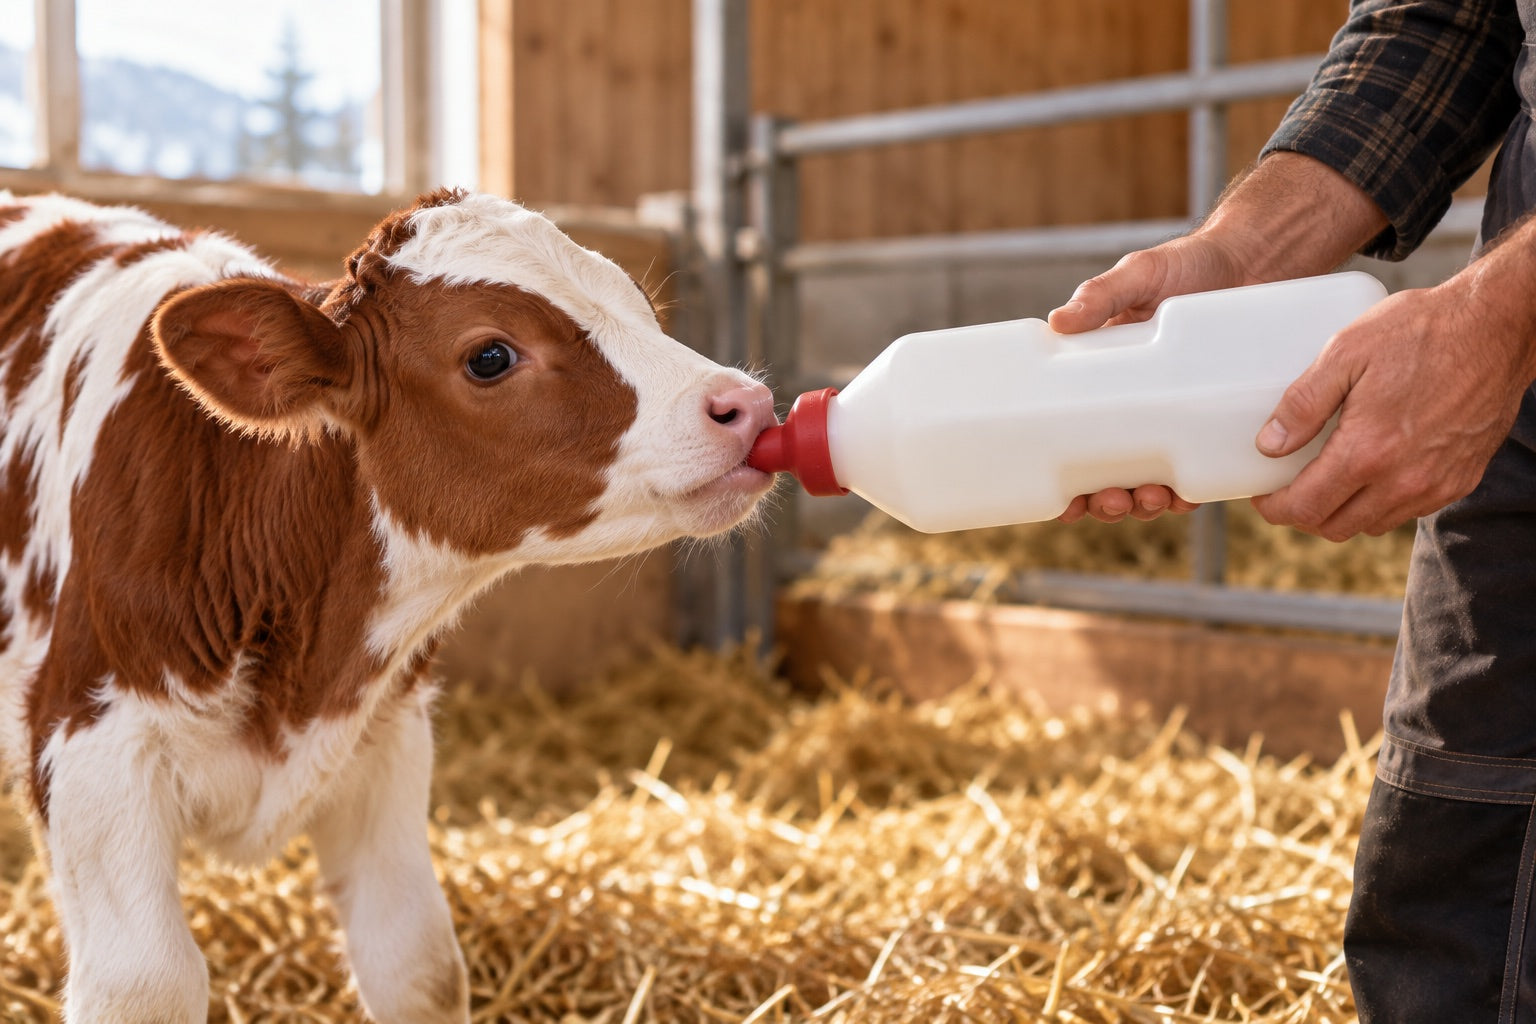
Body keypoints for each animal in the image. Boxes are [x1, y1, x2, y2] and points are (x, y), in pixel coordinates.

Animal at [0, 188, 777, 1023]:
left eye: (641, 305)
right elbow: (146, 979)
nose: (747, 402)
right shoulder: (90, 744)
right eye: (490, 355)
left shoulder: (385, 737)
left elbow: (417, 961)